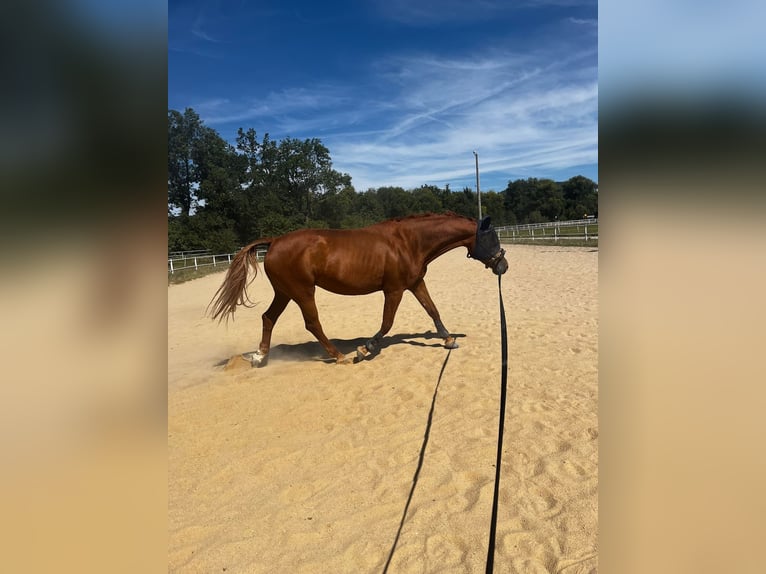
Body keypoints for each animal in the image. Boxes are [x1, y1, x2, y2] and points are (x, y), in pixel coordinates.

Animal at [208, 212, 508, 366]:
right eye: (492, 237)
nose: (503, 265)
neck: (409, 242)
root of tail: (274, 241)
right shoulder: (394, 290)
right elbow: (387, 323)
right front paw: (365, 349)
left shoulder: (415, 284)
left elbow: (433, 310)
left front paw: (448, 339)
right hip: (302, 292)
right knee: (312, 323)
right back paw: (339, 356)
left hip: (284, 292)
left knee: (268, 318)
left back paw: (260, 357)